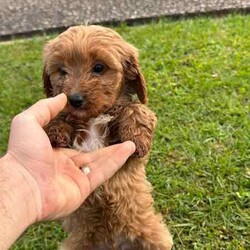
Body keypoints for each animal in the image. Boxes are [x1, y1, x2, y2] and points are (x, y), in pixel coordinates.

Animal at [43, 25, 173, 250]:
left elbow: (138, 108)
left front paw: (137, 139)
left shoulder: (130, 159)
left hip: (155, 237)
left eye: (98, 67)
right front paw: (56, 131)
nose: (74, 99)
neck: (93, 118)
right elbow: (60, 115)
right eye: (62, 71)